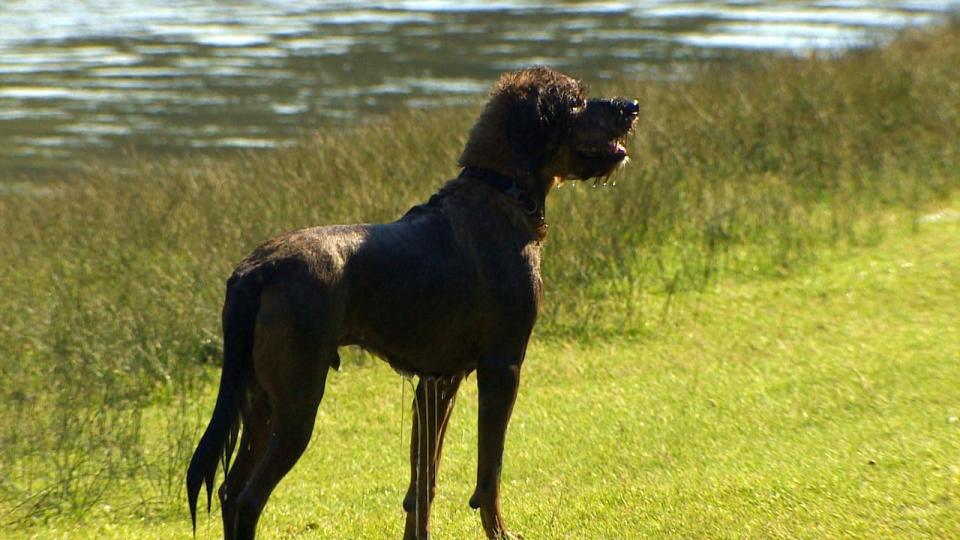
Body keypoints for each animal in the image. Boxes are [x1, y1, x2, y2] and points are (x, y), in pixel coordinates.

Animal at [187, 67, 636, 540]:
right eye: (575, 101)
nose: (631, 106)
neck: (500, 192)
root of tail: (255, 270)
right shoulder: (502, 366)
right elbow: (489, 472)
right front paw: (500, 532)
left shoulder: (439, 381)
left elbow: (424, 480)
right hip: (297, 399)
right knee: (248, 498)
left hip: (261, 400)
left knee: (228, 491)